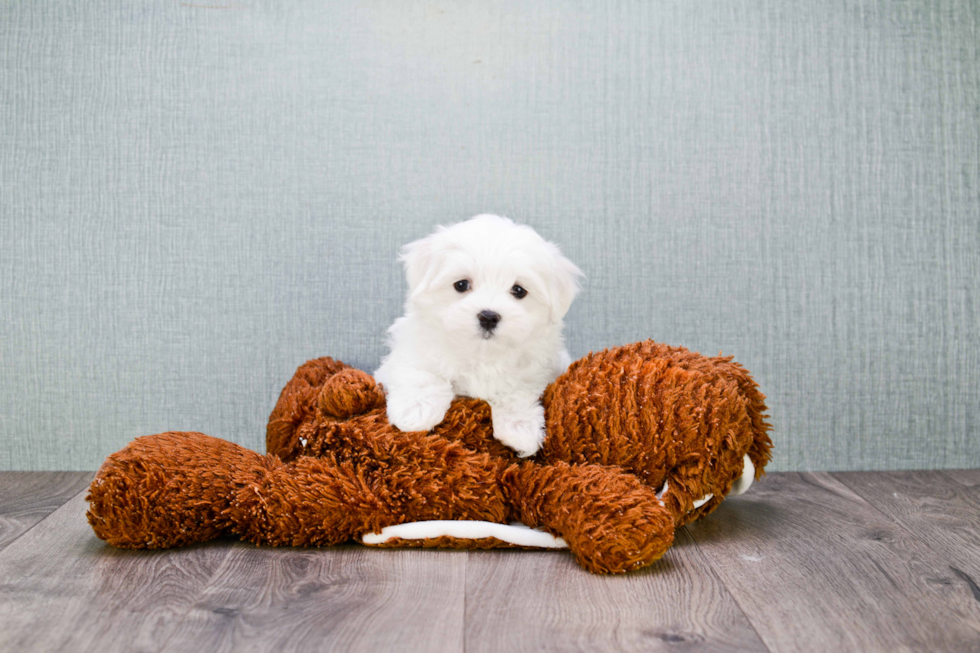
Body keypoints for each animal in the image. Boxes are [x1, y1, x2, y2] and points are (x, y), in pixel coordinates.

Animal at [376, 213, 580, 454]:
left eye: (519, 290)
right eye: (461, 285)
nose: (489, 317)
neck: (481, 354)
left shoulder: (537, 370)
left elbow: (516, 391)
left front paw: (520, 429)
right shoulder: (411, 352)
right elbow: (424, 375)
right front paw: (415, 409)